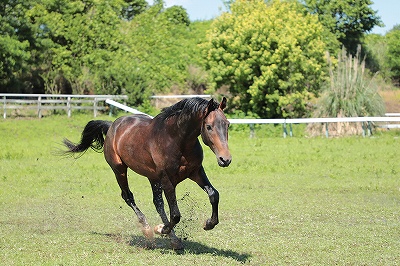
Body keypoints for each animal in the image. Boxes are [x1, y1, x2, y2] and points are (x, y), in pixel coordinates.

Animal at [62, 97, 231, 249]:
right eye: (208, 126)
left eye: (227, 124)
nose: (225, 159)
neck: (176, 140)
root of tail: (112, 126)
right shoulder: (167, 179)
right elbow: (175, 214)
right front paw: (160, 229)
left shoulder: (196, 172)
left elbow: (214, 195)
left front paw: (208, 224)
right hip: (119, 170)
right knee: (128, 197)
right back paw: (148, 230)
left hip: (152, 177)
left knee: (158, 203)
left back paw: (173, 240)